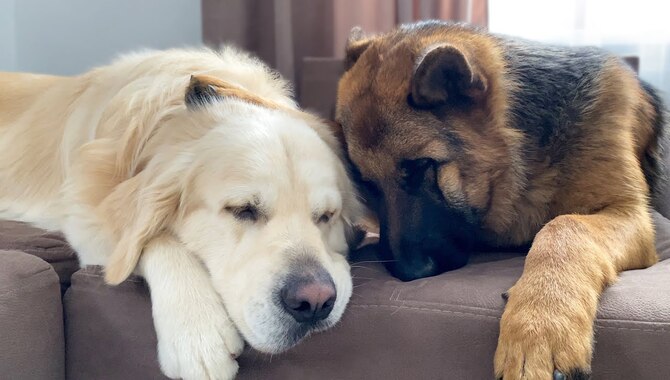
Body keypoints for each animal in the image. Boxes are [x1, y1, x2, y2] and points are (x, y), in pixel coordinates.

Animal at [0, 48, 362, 380]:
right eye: (242, 210)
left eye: (326, 216)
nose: (315, 302)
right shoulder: (86, 212)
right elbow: (151, 239)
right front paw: (198, 333)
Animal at [336, 20, 668, 380]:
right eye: (367, 184)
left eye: (422, 165)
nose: (409, 274)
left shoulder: (630, 214)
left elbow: (565, 226)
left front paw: (540, 325)